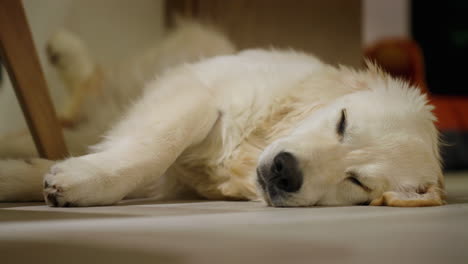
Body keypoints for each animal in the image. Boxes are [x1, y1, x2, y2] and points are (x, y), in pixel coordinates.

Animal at [0, 21, 444, 207]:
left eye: (356, 182)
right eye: (342, 121)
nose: (285, 171)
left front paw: (30, 176)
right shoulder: (195, 88)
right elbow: (154, 149)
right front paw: (84, 179)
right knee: (88, 87)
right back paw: (63, 47)